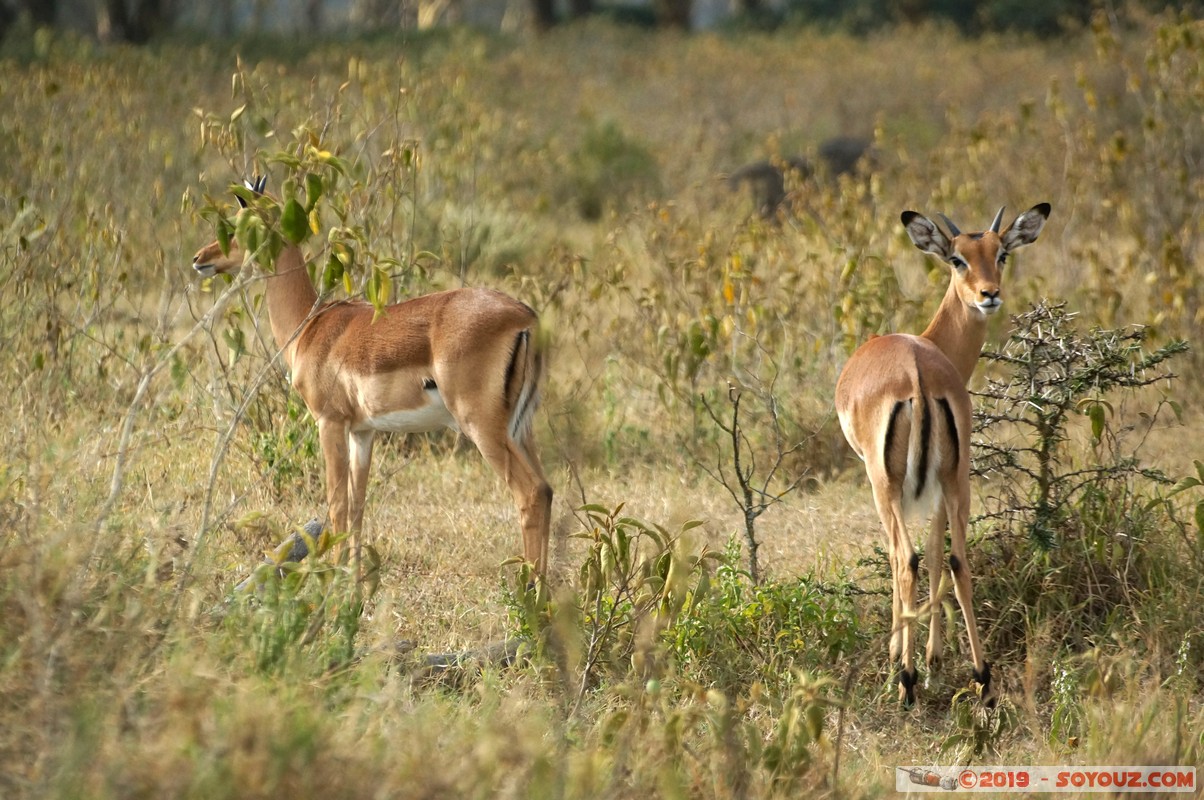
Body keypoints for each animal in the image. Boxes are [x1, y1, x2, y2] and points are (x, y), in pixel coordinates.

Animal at [192, 177, 553, 575]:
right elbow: (357, 506)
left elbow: (336, 504)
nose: (199, 259)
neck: (311, 325)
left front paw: (332, 574)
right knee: (547, 490)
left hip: (481, 426)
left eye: (238, 224)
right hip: (520, 428)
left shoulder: (329, 422)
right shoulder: (363, 432)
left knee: (531, 492)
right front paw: (352, 573)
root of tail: (526, 318)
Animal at [837, 201, 1045, 708]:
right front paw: (935, 662)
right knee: (956, 560)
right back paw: (981, 679)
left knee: (905, 558)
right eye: (958, 258)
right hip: (956, 477)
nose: (989, 294)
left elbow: (906, 558)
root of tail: (916, 373)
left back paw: (906, 683)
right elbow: (937, 551)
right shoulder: (936, 485)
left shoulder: (884, 482)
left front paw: (904, 657)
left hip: (887, 484)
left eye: (1001, 254)